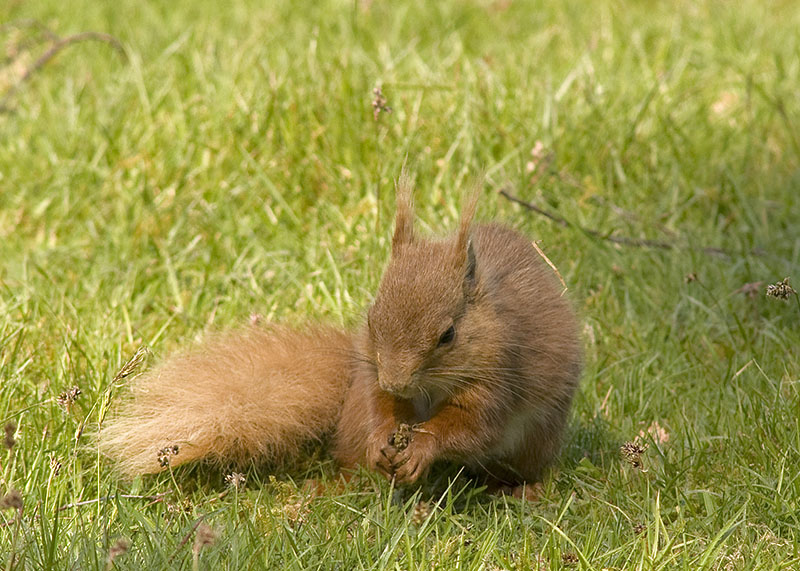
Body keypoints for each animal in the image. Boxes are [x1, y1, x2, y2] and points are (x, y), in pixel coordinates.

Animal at [103, 174, 584, 488]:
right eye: (371, 319)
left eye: (448, 335)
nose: (396, 379)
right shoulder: (373, 378)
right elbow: (381, 408)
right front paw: (380, 441)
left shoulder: (499, 377)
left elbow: (473, 428)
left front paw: (422, 449)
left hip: (536, 440)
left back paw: (522, 491)